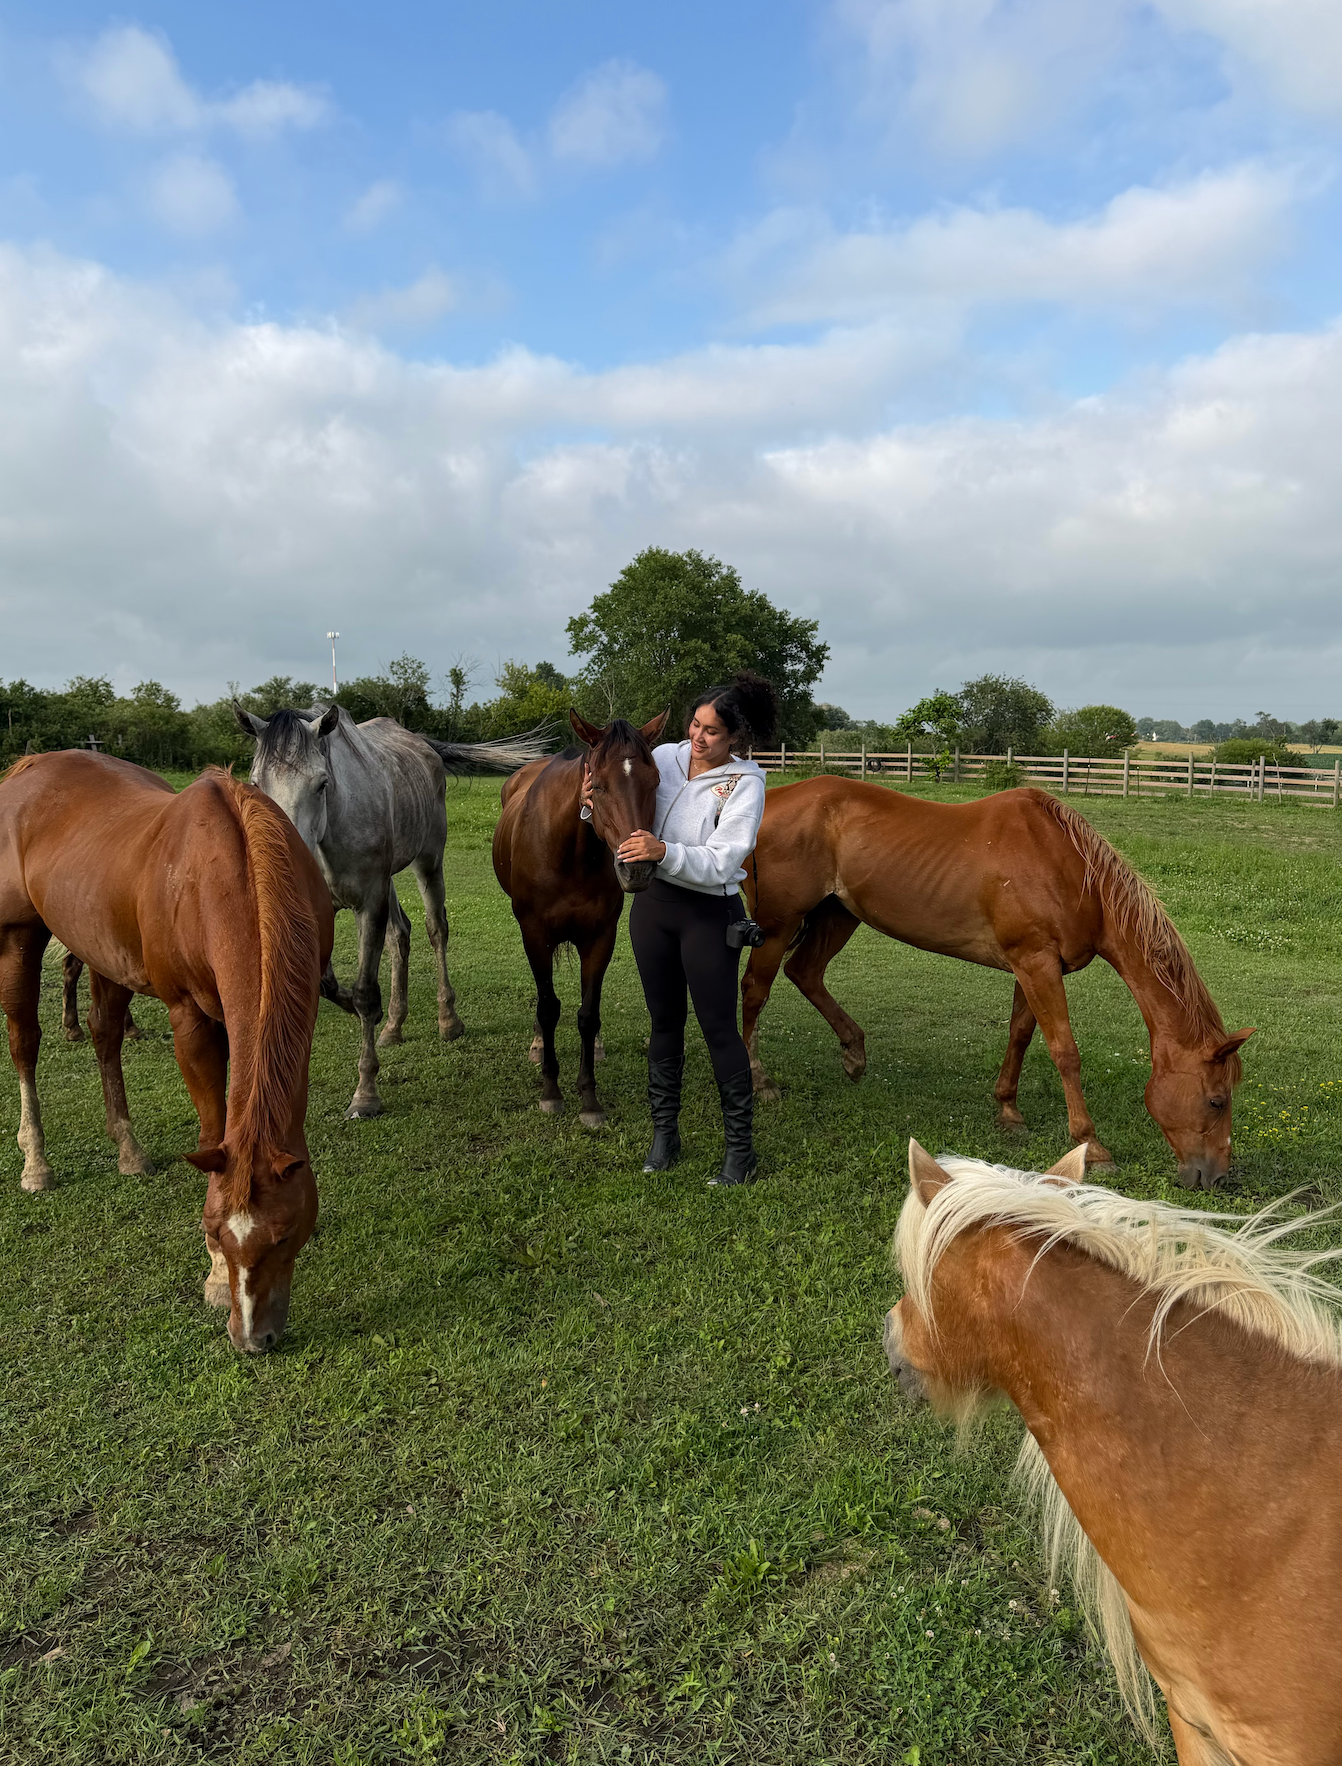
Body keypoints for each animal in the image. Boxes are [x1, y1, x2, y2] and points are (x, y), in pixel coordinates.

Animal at [0, 752, 332, 1352]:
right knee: (24, 1042)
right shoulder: (190, 1018)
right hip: (18, 935)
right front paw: (216, 1280)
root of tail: (29, 768)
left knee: (105, 1036)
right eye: (213, 1229)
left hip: (103, 950)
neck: (227, 871)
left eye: (285, 1235)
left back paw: (128, 1150)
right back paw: (35, 1162)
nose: (252, 1339)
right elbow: (212, 1128)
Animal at [234, 704, 547, 1119]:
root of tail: (422, 744)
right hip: (390, 882)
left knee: (435, 929)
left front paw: (365, 1094)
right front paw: (361, 1013)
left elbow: (366, 991)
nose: (281, 856)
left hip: (427, 861)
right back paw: (394, 1025)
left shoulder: (369, 902)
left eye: (321, 784)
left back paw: (448, 1020)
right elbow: (326, 982)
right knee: (401, 934)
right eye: (255, 784)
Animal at [493, 710, 668, 1127]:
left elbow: (588, 1014)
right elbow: (548, 1007)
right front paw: (551, 1091)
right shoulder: (534, 934)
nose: (638, 868)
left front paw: (589, 1098)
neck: (569, 851)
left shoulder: (601, 937)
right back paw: (538, 1043)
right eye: (598, 785)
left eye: (654, 781)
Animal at [741, 779, 1252, 1187]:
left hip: (838, 914)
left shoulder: (1033, 966)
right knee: (754, 991)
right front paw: (1092, 1146)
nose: (1217, 1178)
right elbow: (1065, 1051)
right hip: (778, 926)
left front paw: (1008, 1111)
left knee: (805, 973)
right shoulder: (1036, 963)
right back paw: (760, 1080)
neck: (1071, 872)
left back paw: (854, 1052)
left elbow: (1021, 1035)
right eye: (1216, 1101)